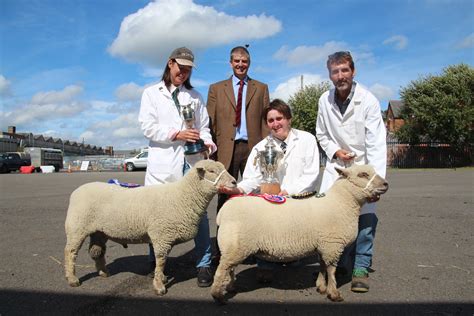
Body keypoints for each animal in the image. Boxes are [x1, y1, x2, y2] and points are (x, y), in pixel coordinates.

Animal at [64, 160, 237, 296]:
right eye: (212, 171)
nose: (234, 182)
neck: (182, 196)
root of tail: (77, 191)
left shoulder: (164, 236)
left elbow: (162, 262)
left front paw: (161, 278)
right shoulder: (162, 236)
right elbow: (161, 261)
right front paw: (159, 286)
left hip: (99, 231)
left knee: (96, 251)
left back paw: (103, 273)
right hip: (77, 227)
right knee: (70, 252)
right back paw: (72, 279)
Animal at [211, 164, 388, 302]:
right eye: (363, 174)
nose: (386, 184)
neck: (341, 202)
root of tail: (224, 211)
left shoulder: (323, 245)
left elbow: (323, 266)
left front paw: (321, 287)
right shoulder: (332, 245)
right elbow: (331, 270)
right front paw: (334, 293)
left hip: (234, 246)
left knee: (229, 268)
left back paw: (231, 287)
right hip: (236, 245)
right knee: (222, 269)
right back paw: (217, 295)